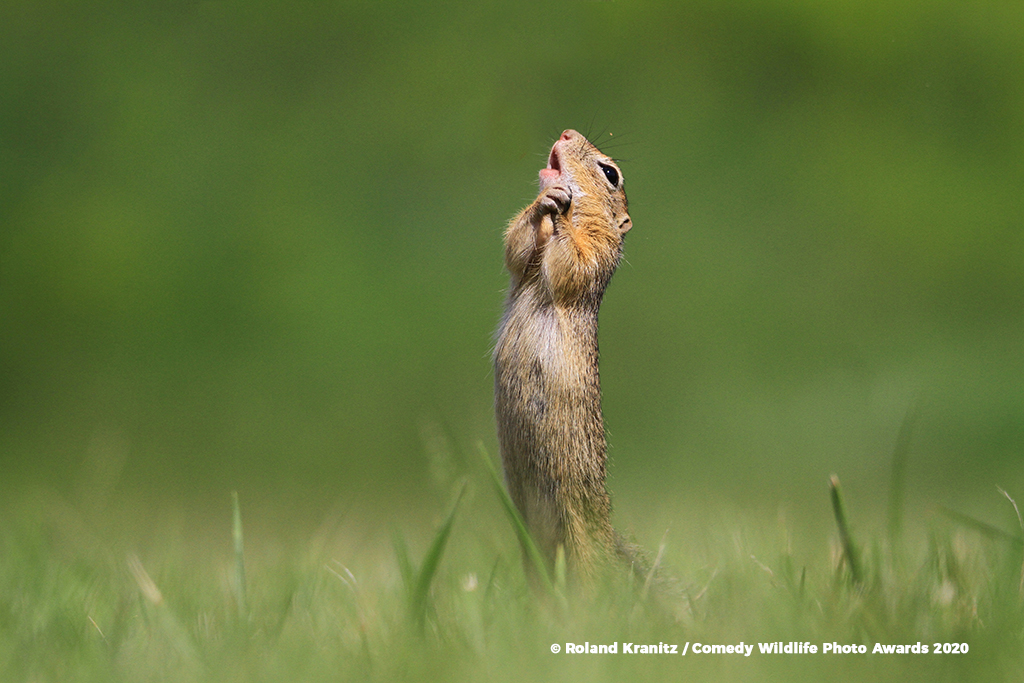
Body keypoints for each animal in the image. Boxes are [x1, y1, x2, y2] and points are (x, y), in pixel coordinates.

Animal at [493, 131, 630, 585]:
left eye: (611, 173)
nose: (567, 133)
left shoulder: (596, 254)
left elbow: (574, 262)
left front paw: (561, 210)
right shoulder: (523, 261)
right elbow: (517, 246)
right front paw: (544, 202)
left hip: (581, 540)